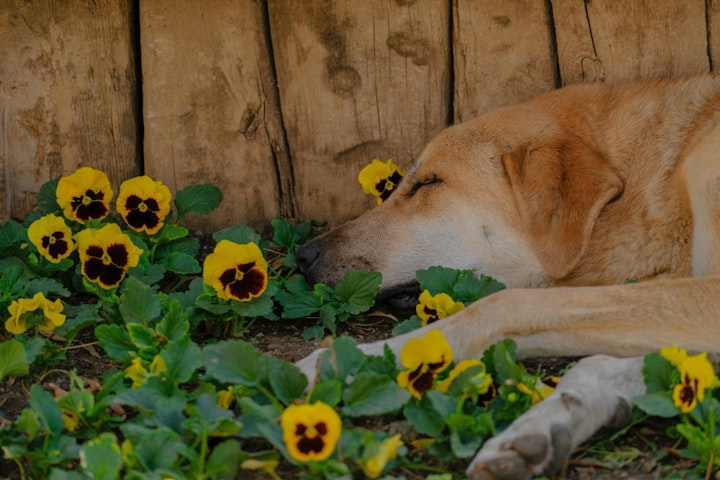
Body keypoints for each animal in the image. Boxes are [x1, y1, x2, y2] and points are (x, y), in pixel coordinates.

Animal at [292, 77, 720, 478]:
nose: (304, 257)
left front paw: (344, 361)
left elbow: (499, 305)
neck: (663, 177)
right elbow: (600, 363)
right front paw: (545, 426)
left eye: (428, 183)